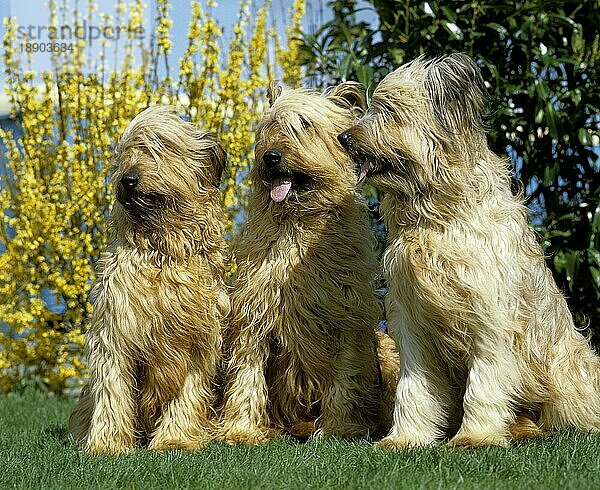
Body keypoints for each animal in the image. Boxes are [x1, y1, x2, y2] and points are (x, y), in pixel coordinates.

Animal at [69, 105, 229, 454]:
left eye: (160, 147)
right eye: (125, 153)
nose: (127, 180)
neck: (161, 251)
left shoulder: (198, 338)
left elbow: (188, 391)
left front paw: (175, 439)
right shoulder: (115, 329)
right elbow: (113, 388)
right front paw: (108, 444)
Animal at [338, 53, 600, 448]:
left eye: (388, 110)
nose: (343, 137)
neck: (436, 217)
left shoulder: (490, 312)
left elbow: (485, 380)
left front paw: (475, 436)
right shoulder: (410, 316)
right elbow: (413, 386)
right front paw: (406, 437)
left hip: (567, 370)